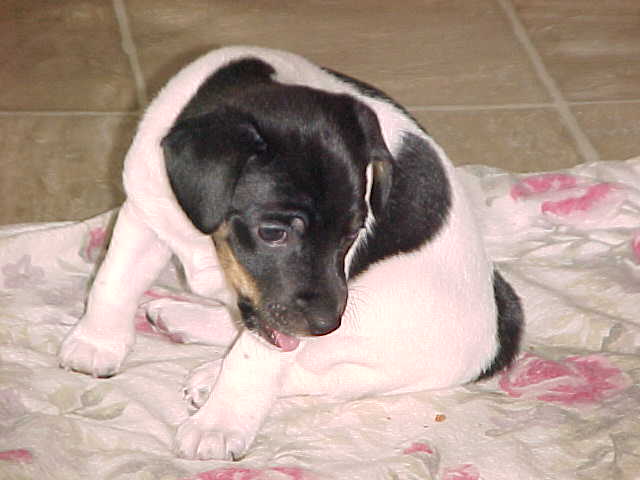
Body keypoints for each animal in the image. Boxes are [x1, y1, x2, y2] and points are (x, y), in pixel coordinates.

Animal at [57, 46, 524, 462]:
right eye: (273, 233)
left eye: (352, 233)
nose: (326, 325)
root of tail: (499, 326)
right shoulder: (145, 212)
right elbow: (113, 281)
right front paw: (96, 343)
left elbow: (253, 363)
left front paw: (218, 425)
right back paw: (183, 319)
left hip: (388, 351)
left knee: (318, 374)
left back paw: (210, 378)